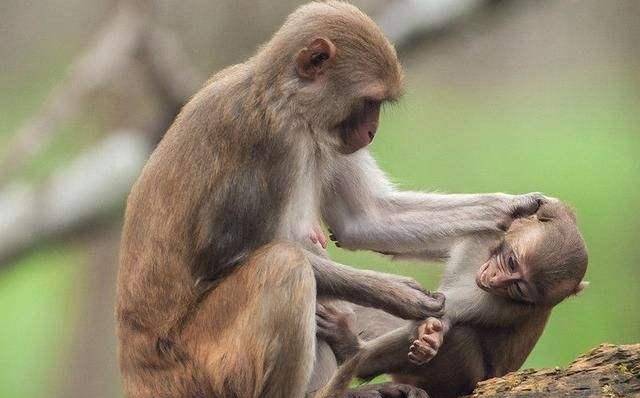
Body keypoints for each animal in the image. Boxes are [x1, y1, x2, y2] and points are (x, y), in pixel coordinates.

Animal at [117, 1, 544, 396]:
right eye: (368, 103)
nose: (371, 131)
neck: (285, 101)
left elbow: (365, 221)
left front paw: (513, 207)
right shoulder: (265, 138)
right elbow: (223, 257)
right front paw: (396, 294)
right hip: (203, 369)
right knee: (284, 265)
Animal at [318, 201, 588, 396]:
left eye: (519, 288)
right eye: (511, 263)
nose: (494, 280)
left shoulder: (494, 302)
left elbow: (443, 318)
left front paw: (431, 337)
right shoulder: (483, 236)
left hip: (463, 380)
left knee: (459, 336)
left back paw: (350, 348)